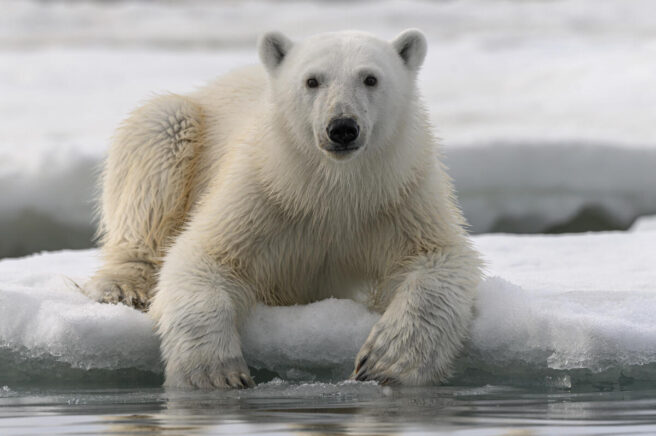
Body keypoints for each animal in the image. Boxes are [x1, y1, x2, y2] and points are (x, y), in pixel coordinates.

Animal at [83, 29, 482, 388]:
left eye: (370, 78)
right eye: (312, 80)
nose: (342, 127)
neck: (332, 190)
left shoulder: (398, 196)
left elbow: (438, 258)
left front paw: (386, 363)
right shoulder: (264, 192)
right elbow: (202, 255)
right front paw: (215, 373)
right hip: (180, 129)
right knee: (160, 132)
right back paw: (125, 286)